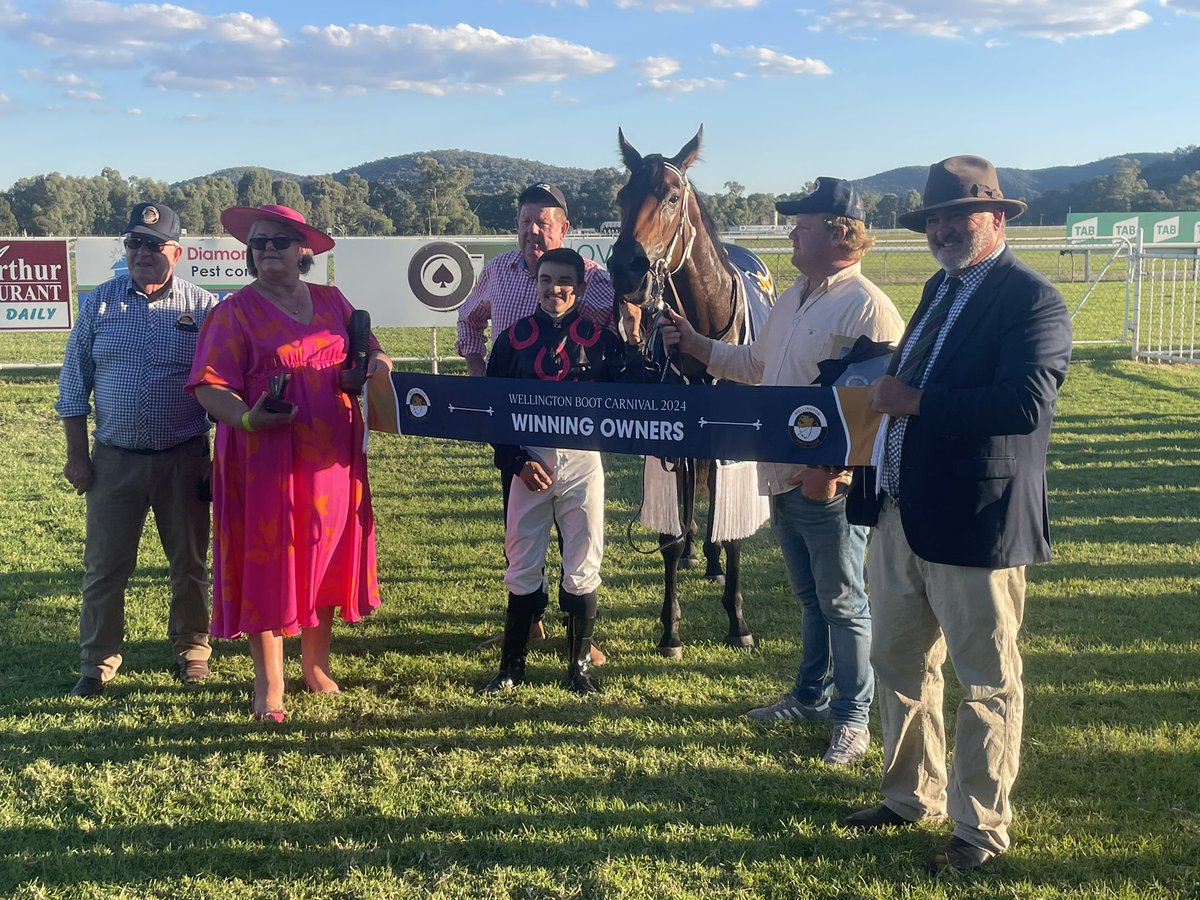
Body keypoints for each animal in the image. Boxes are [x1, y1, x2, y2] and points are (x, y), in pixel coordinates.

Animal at [609, 127, 777, 657]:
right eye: (621, 197)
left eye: (671, 196)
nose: (626, 269)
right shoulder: (675, 439)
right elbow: (670, 535)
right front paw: (670, 629)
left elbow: (735, 527)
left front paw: (738, 621)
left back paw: (713, 557)